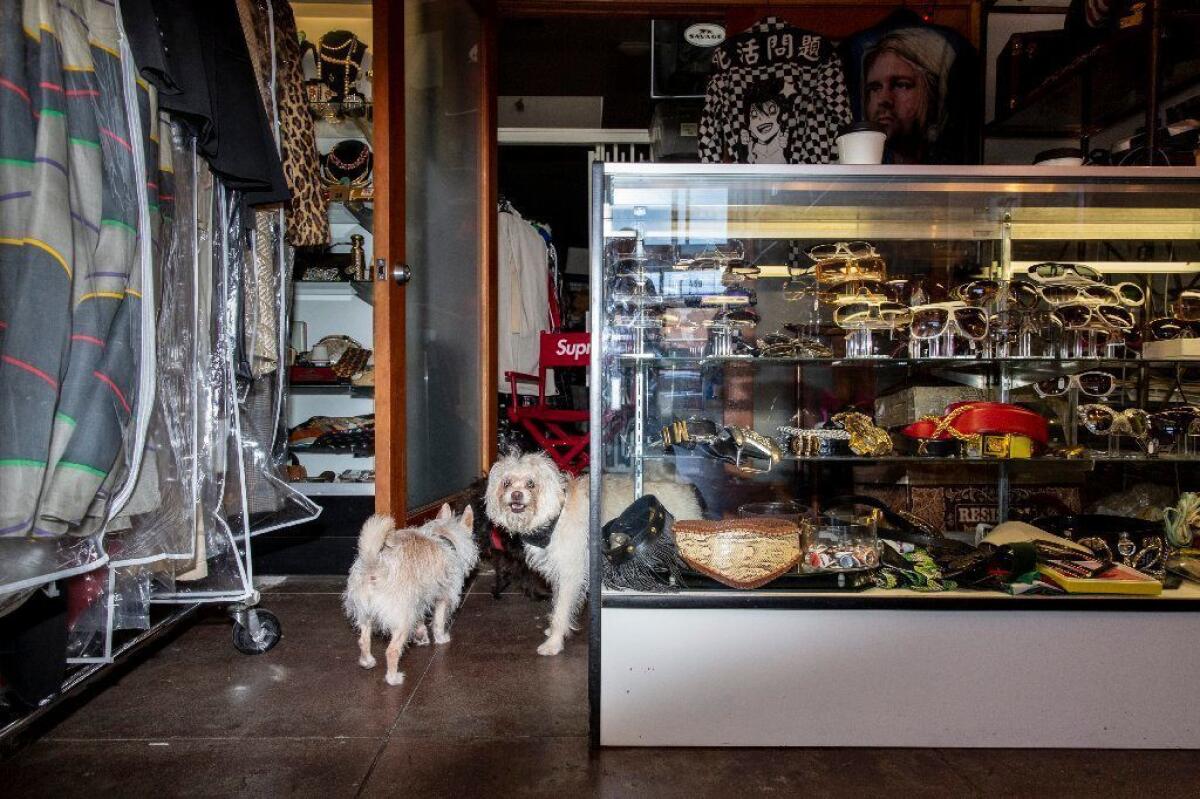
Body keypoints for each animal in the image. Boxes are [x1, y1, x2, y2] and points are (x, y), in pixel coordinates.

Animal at [343, 503, 477, 686]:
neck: (444, 536)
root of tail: (374, 566)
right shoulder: (443, 597)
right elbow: (439, 622)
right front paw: (441, 638)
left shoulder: (418, 601)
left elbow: (420, 620)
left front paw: (421, 635)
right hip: (402, 621)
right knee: (392, 651)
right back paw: (393, 678)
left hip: (365, 615)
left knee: (363, 641)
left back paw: (367, 661)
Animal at [482, 448, 700, 652]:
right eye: (507, 483)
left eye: (530, 483)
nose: (516, 495)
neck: (555, 514)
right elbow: (558, 602)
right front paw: (553, 631)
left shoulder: (571, 573)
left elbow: (561, 609)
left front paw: (554, 642)